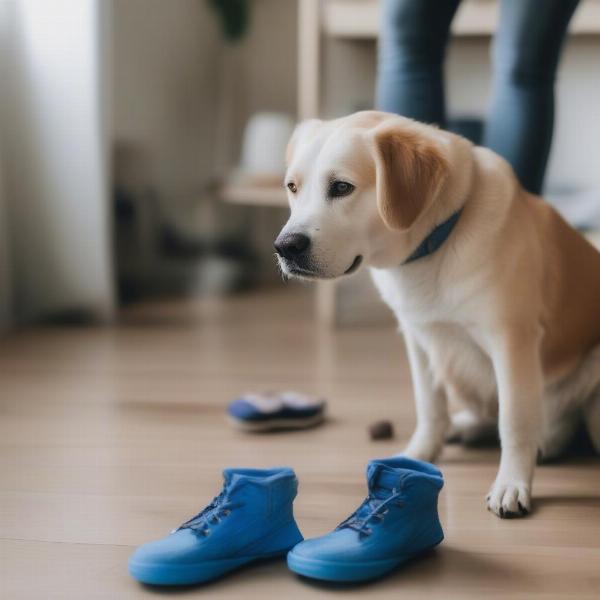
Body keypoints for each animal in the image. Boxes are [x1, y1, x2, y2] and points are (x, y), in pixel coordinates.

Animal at [274, 110, 600, 516]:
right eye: (292, 187)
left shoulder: (512, 340)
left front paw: (511, 483)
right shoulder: (418, 337)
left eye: (341, 187)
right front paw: (418, 454)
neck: (434, 245)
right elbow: (430, 408)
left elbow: (514, 421)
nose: (284, 246)